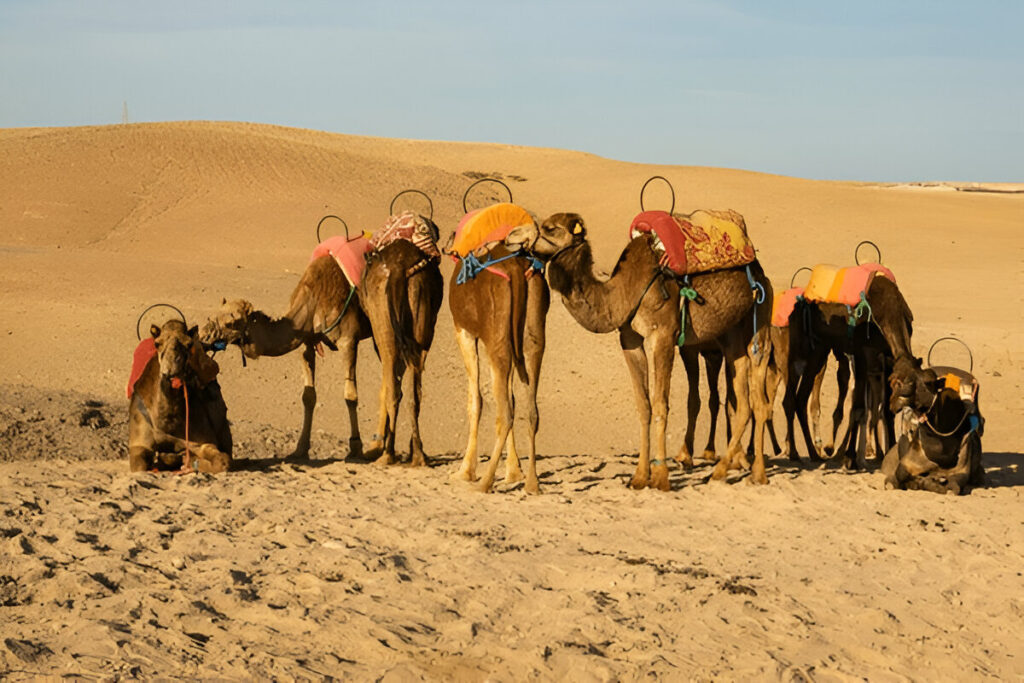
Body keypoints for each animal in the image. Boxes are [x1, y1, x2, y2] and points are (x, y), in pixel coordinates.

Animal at [128, 320, 232, 473]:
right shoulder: (139, 443)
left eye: (189, 344)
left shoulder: (202, 441)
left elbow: (222, 461)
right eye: (157, 343)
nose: (171, 367)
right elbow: (139, 466)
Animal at [200, 254, 372, 458]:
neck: (313, 301)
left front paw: (356, 449)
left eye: (231, 323)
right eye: (212, 315)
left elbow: (350, 395)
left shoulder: (349, 340)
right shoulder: (307, 342)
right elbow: (308, 396)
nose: (202, 336)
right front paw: (300, 449)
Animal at [358, 220, 444, 466]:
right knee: (414, 391)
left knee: (393, 388)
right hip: (420, 319)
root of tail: (398, 268)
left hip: (384, 325)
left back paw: (387, 454)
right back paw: (418, 455)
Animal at [449, 243, 550, 493]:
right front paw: (514, 472)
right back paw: (532, 483)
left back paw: (485, 482)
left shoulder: (464, 331)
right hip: (531, 336)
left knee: (506, 413)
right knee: (530, 410)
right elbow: (510, 397)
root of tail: (515, 270)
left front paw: (465, 471)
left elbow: (475, 401)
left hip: (497, 339)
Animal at [507, 212, 774, 489]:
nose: (510, 237)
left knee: (760, 395)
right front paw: (639, 477)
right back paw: (722, 471)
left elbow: (660, 404)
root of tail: (758, 270)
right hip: (731, 335)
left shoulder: (663, 336)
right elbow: (644, 405)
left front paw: (661, 477)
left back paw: (757, 473)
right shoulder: (630, 339)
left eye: (550, 228)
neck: (623, 292)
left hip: (761, 317)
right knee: (743, 400)